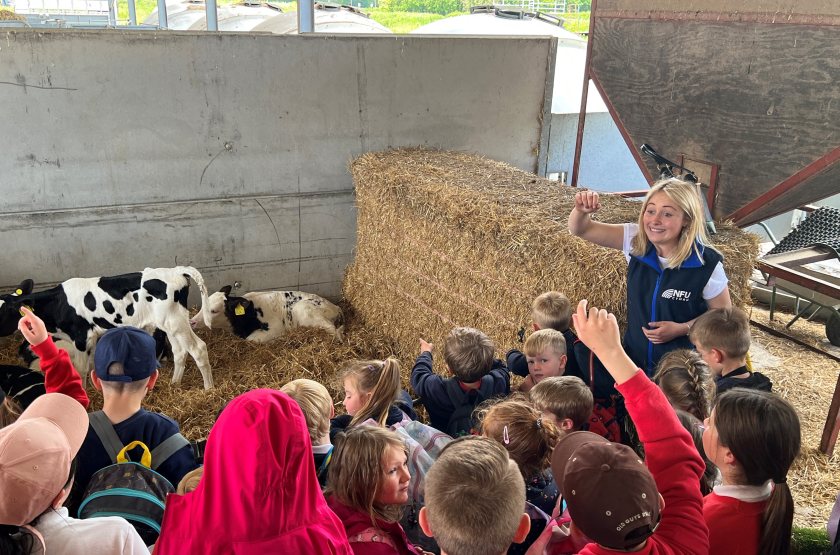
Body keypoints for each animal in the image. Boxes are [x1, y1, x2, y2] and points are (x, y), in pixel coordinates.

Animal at [0, 266, 213, 388]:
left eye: (3, 312)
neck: (59, 304)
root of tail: (176, 270)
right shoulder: (91, 338)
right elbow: (93, 363)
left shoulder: (81, 337)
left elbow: (81, 369)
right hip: (170, 323)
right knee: (180, 352)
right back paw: (175, 383)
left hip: (175, 322)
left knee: (198, 349)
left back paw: (208, 389)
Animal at [192, 286, 342, 344]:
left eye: (213, 311)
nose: (192, 321)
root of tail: (335, 306)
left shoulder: (275, 327)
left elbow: (252, 340)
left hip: (304, 309)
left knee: (334, 330)